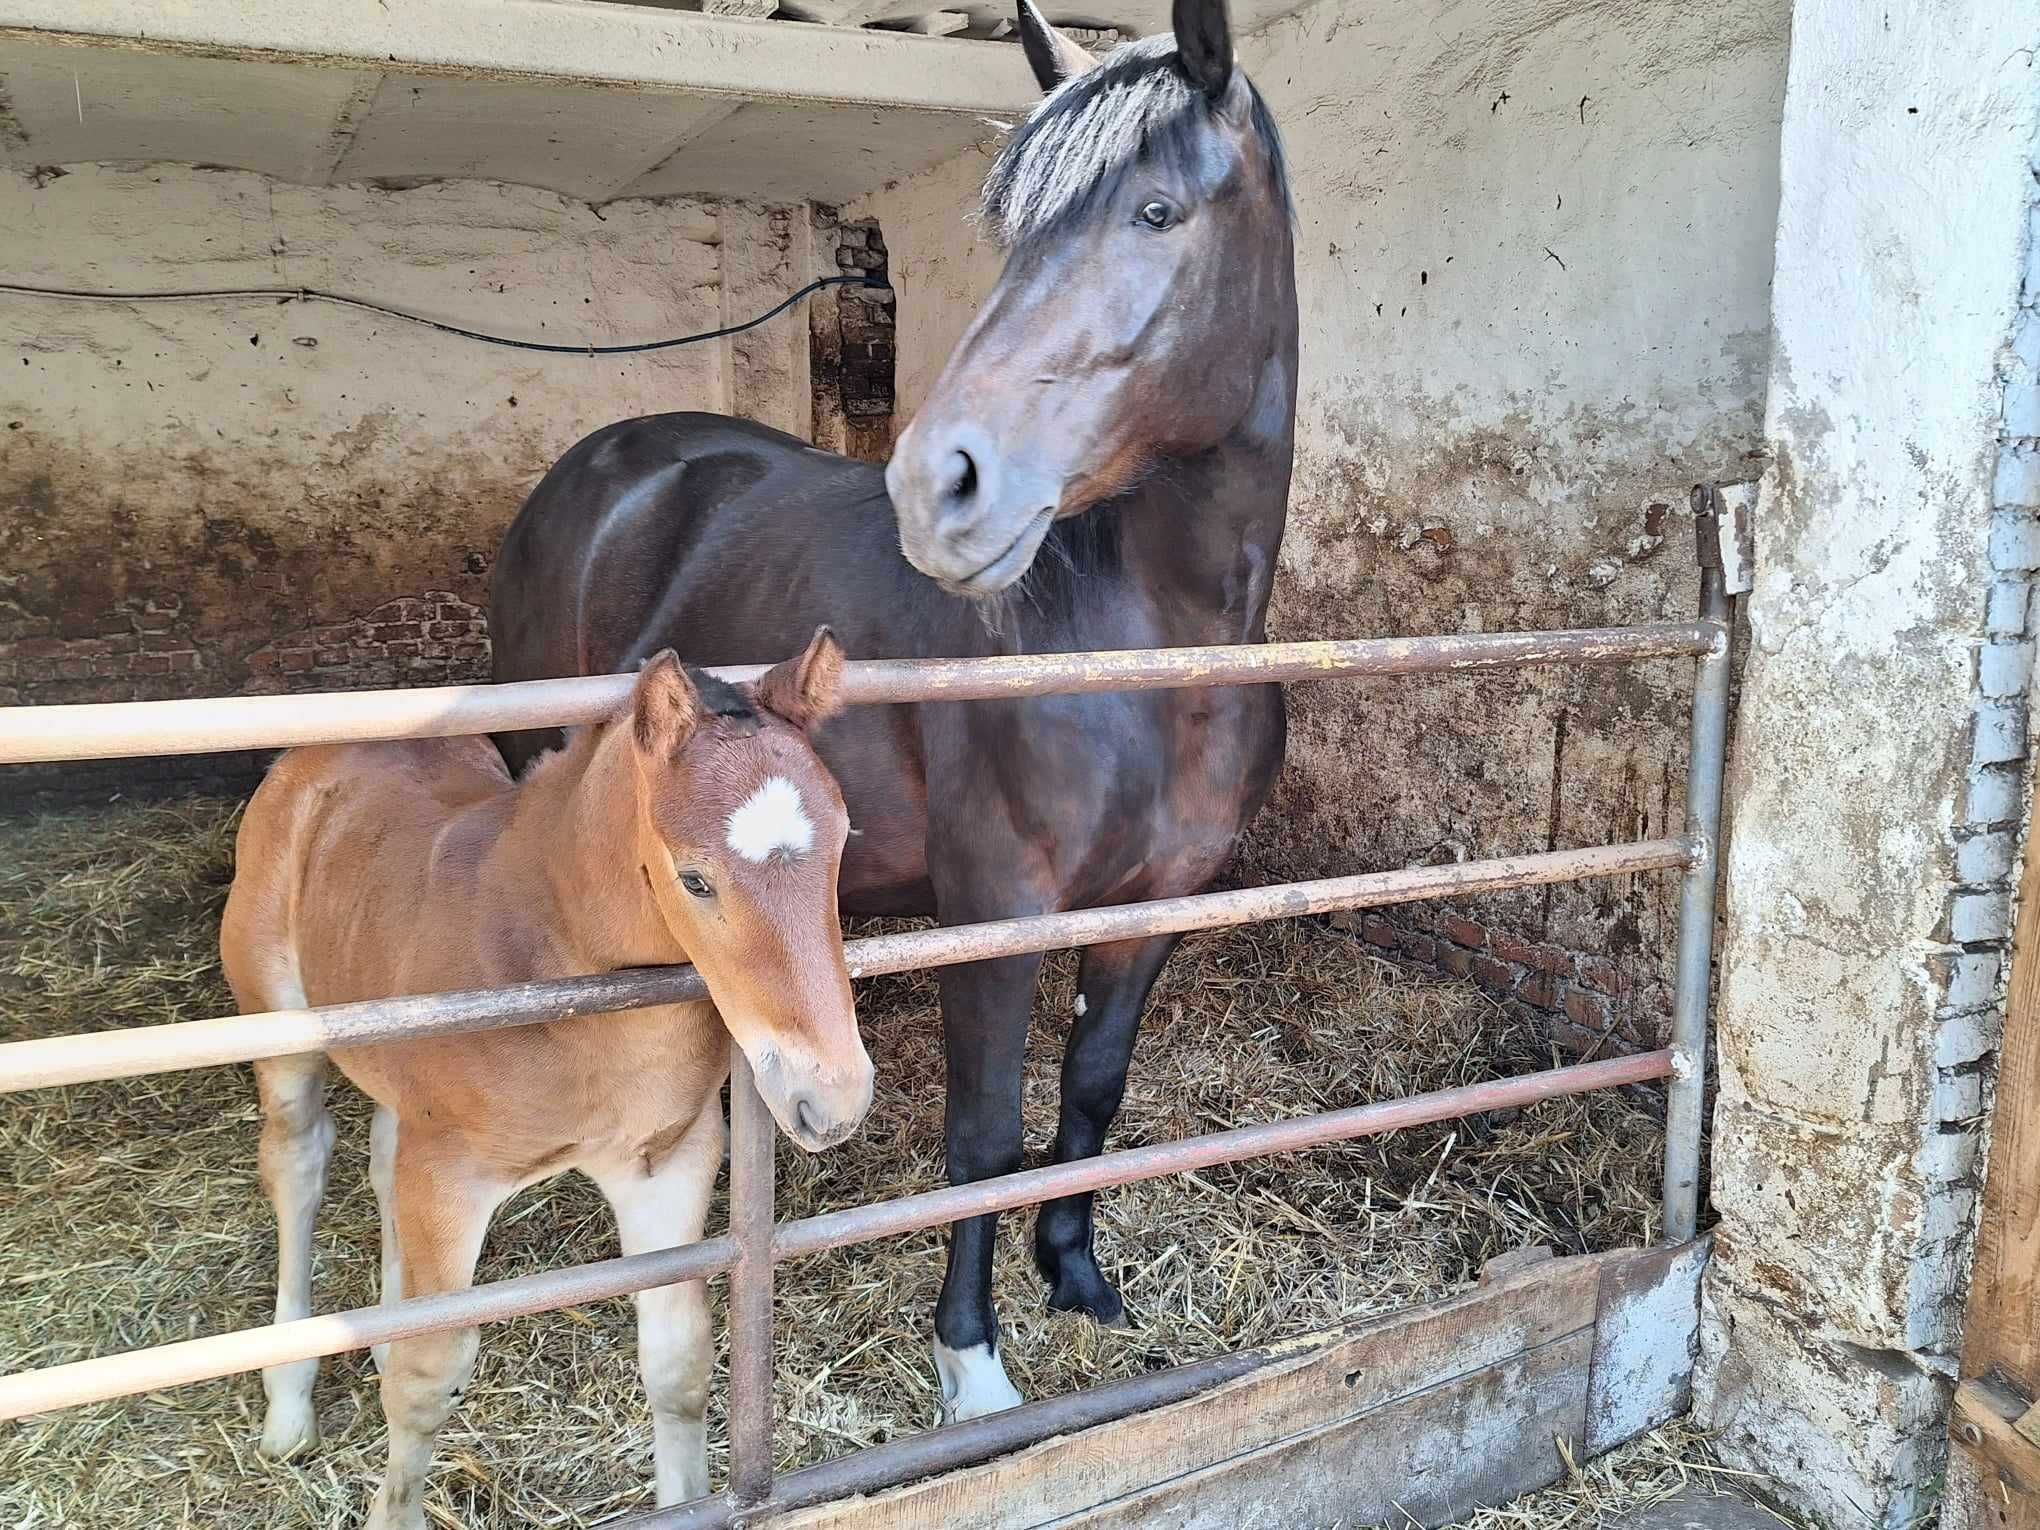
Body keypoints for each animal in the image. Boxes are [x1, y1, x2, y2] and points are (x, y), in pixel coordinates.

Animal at [221, 628, 869, 1525]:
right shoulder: (450, 1178)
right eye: (695, 879)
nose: (832, 1100)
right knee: (298, 1164)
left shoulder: (667, 1162)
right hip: (280, 1030)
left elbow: (678, 1358)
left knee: (382, 1156)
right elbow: (429, 1379)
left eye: (844, 845)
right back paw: (288, 1406)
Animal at [491, 0, 1289, 1428]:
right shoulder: (996, 911)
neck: (1136, 651)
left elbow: (1090, 1095)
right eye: (1016, 236)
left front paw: (1076, 1275)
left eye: (1157, 211)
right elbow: (982, 1136)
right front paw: (971, 1359)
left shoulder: (1157, 909)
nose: (939, 484)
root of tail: (594, 470)